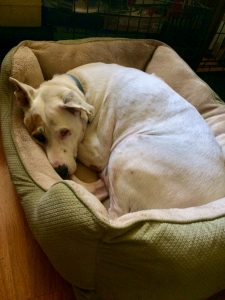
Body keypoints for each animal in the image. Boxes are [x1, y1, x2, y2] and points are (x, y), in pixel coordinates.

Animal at [9, 62, 225, 218]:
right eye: (39, 137)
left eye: (65, 132)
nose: (60, 170)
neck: (81, 87)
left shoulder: (98, 153)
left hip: (126, 150)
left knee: (113, 214)